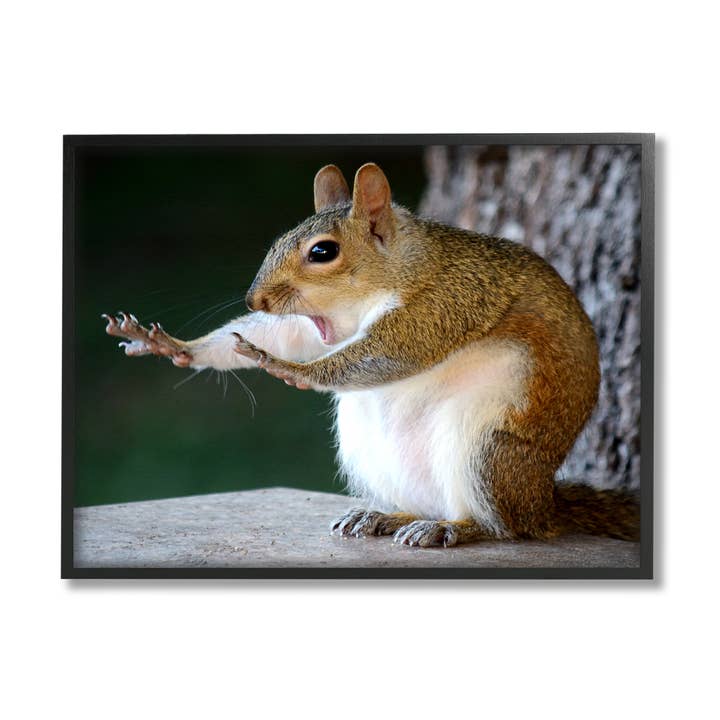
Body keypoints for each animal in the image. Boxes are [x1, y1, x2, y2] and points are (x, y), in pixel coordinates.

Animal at [103, 162, 639, 547]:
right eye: (279, 239)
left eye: (322, 252)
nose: (255, 301)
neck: (403, 268)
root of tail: (542, 503)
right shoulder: (316, 325)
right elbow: (286, 335)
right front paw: (173, 345)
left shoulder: (447, 302)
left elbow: (390, 353)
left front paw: (289, 368)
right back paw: (385, 516)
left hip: (489, 452)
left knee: (506, 527)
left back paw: (455, 528)